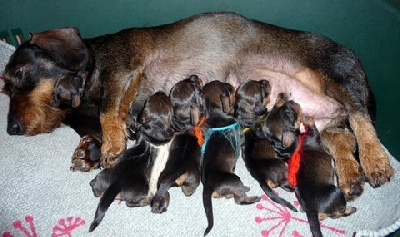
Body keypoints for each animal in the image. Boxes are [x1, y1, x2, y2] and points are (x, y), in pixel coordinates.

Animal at [89, 91, 173, 232]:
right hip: (141, 189)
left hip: (101, 179)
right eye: (168, 101)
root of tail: (115, 184)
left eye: (149, 101)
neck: (155, 127)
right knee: (130, 203)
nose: (160, 92)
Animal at [152, 75, 205, 213]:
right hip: (193, 181)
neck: (185, 125)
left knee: (163, 193)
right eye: (198, 88)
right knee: (188, 190)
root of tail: (176, 172)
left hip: (161, 181)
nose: (194, 76)